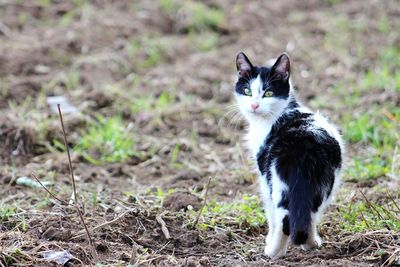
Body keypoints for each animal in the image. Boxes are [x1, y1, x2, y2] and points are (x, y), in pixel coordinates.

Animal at [234, 51, 344, 260]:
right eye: (247, 91)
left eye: (268, 93)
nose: (254, 105)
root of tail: (305, 146)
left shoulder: (264, 175)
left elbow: (270, 213)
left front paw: (268, 240)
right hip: (324, 183)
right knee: (310, 212)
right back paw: (310, 244)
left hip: (278, 182)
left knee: (284, 218)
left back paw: (273, 252)